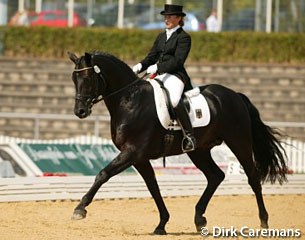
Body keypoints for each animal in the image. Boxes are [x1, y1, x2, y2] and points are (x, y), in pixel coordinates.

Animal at [67, 51, 286, 234]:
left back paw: (264, 222)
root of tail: (235, 95)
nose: (80, 112)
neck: (129, 100)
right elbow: (153, 187)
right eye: (74, 79)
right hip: (199, 150)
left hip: (239, 143)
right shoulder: (139, 158)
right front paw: (162, 224)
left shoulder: (132, 152)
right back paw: (199, 219)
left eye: (88, 78)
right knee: (215, 176)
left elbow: (103, 174)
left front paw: (79, 209)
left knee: (253, 178)